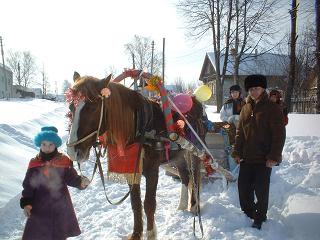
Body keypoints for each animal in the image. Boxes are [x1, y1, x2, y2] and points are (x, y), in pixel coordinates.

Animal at [67, 72, 205, 239]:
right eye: (71, 107)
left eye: (93, 107)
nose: (73, 151)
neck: (140, 127)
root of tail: (195, 101)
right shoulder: (131, 171)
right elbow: (136, 204)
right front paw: (136, 234)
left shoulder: (152, 171)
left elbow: (149, 204)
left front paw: (151, 234)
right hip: (178, 155)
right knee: (185, 176)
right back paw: (182, 205)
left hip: (195, 152)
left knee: (195, 178)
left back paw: (194, 206)